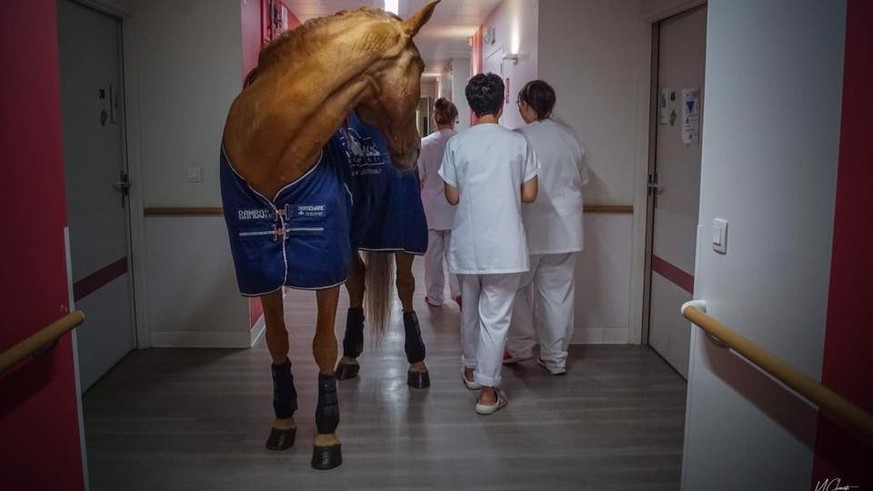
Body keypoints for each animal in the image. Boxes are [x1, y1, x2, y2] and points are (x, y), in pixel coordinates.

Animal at [215, 0, 440, 470]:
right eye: (420, 65)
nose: (412, 151)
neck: (270, 150)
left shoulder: (321, 266)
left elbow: (320, 344)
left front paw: (325, 433)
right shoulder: (262, 266)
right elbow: (278, 342)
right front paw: (283, 421)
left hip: (398, 231)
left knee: (406, 289)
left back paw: (416, 365)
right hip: (348, 238)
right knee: (357, 280)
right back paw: (351, 357)